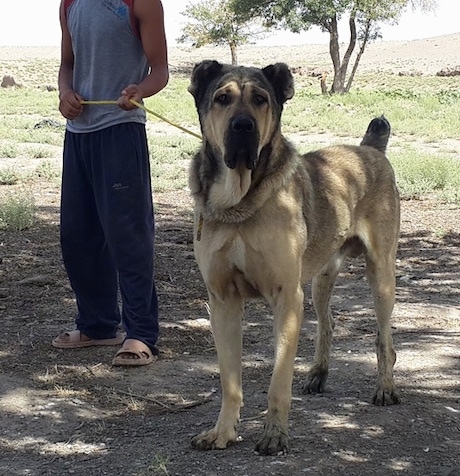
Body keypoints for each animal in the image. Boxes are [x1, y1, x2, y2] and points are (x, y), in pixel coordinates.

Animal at [186, 61, 398, 456]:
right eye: (222, 98)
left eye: (260, 99)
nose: (243, 126)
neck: (238, 203)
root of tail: (369, 150)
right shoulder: (223, 302)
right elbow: (229, 382)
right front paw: (223, 432)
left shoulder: (286, 298)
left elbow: (278, 380)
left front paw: (274, 434)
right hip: (320, 281)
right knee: (327, 324)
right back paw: (318, 374)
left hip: (381, 277)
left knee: (383, 338)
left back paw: (386, 386)